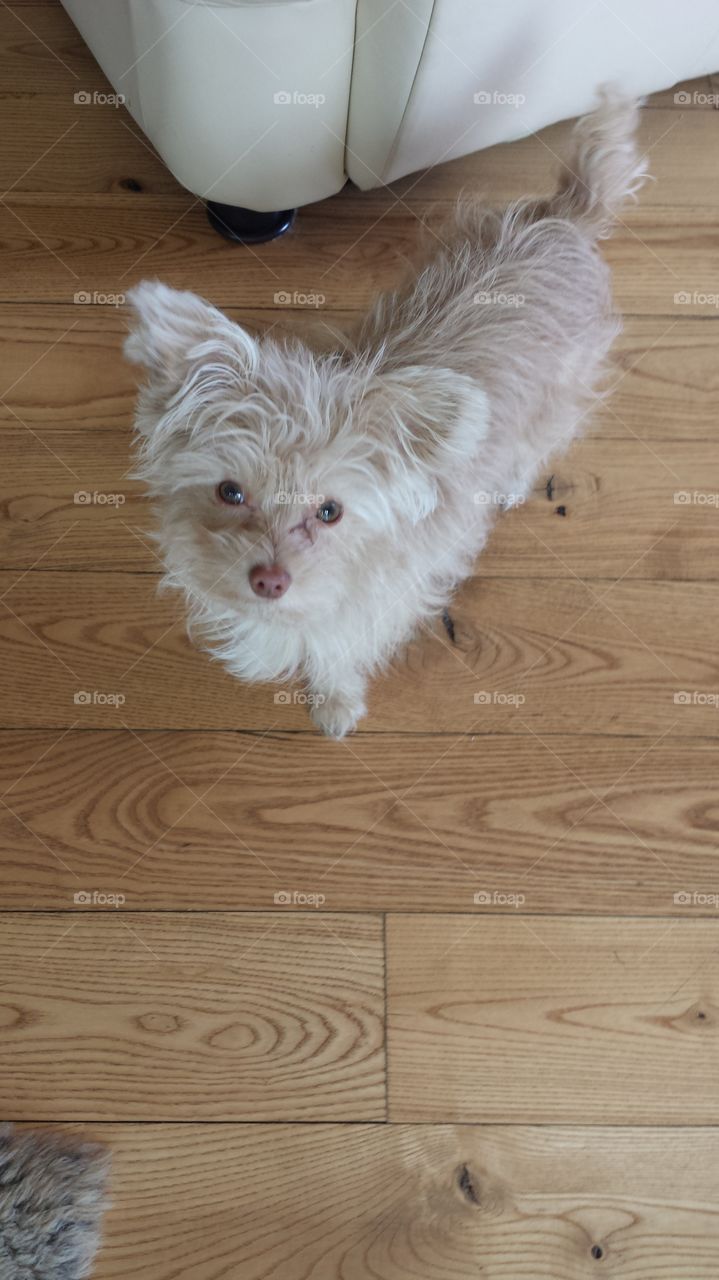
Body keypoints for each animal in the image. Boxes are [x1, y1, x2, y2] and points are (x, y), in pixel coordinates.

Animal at [124, 85, 644, 737]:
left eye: (330, 512)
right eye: (229, 492)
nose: (269, 579)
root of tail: (565, 217)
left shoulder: (372, 606)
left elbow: (335, 653)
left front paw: (335, 704)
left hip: (559, 395)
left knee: (540, 441)